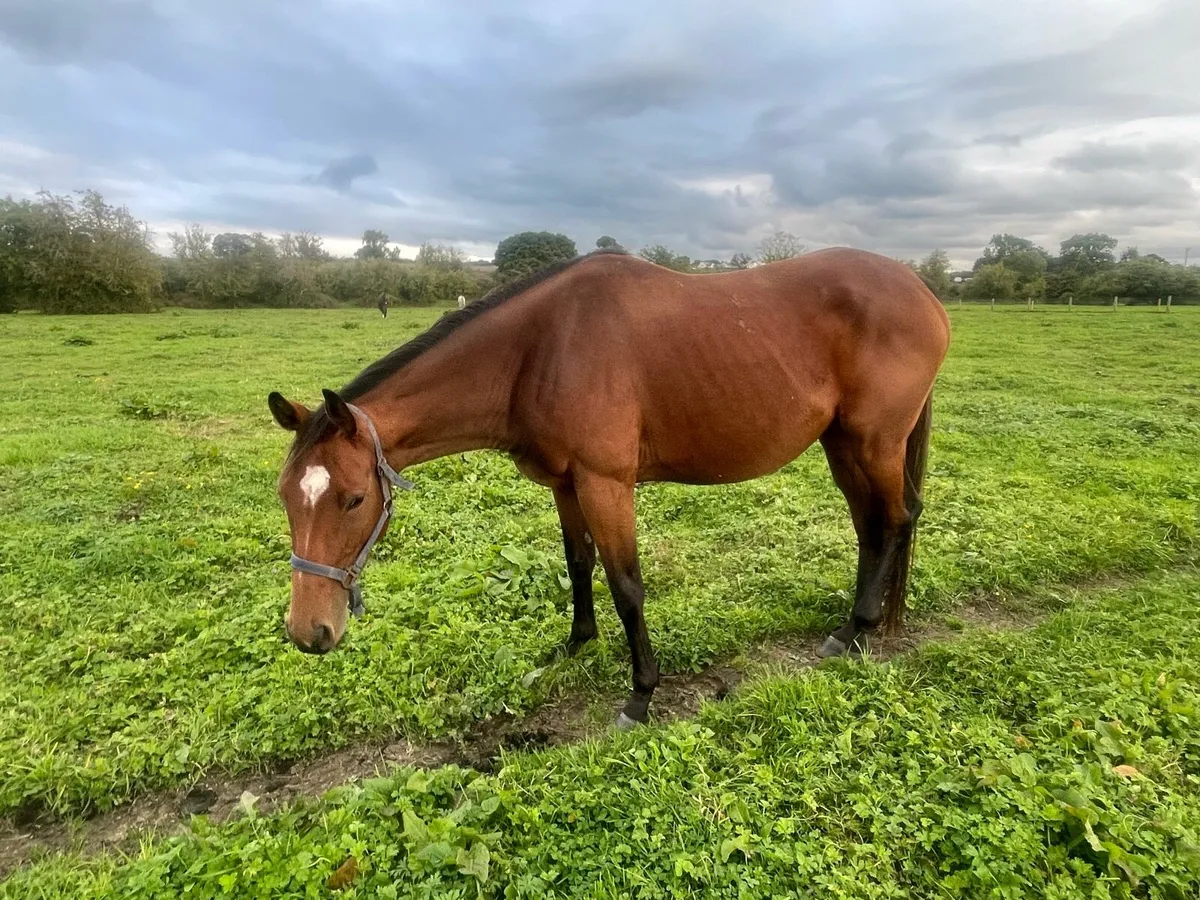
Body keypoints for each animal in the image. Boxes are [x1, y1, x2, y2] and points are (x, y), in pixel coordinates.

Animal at [268, 247, 951, 727]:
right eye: (286, 498)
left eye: (354, 499)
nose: (308, 633)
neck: (542, 347)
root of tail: (924, 294)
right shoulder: (566, 484)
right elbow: (579, 563)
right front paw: (574, 646)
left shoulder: (606, 484)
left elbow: (627, 585)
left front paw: (641, 695)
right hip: (843, 444)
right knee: (871, 526)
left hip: (873, 442)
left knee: (896, 519)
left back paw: (855, 631)